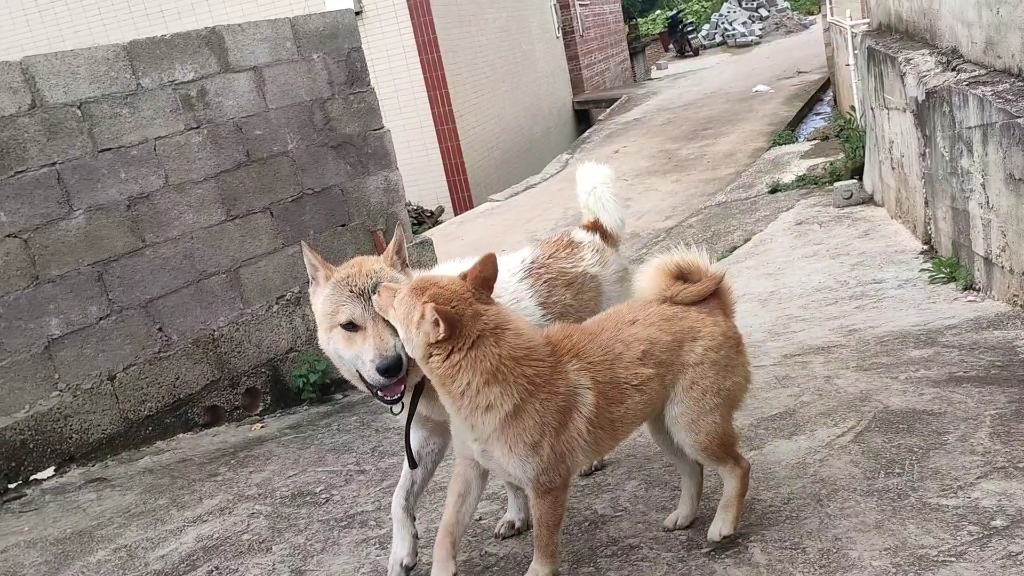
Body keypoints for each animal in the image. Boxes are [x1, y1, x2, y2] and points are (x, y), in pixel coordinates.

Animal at [299, 158, 626, 569]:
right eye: (349, 326)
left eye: (391, 320)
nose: (390, 368)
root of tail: (589, 232)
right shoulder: (428, 435)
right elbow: (399, 499)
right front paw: (403, 549)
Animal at [376, 242, 753, 573]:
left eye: (399, 296)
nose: (379, 288)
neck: (493, 378)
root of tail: (710, 306)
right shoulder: (470, 471)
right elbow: (446, 531)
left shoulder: (547, 486)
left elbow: (544, 545)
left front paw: (538, 571)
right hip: (667, 430)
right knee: (693, 470)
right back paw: (685, 514)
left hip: (694, 428)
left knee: (737, 467)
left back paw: (724, 521)